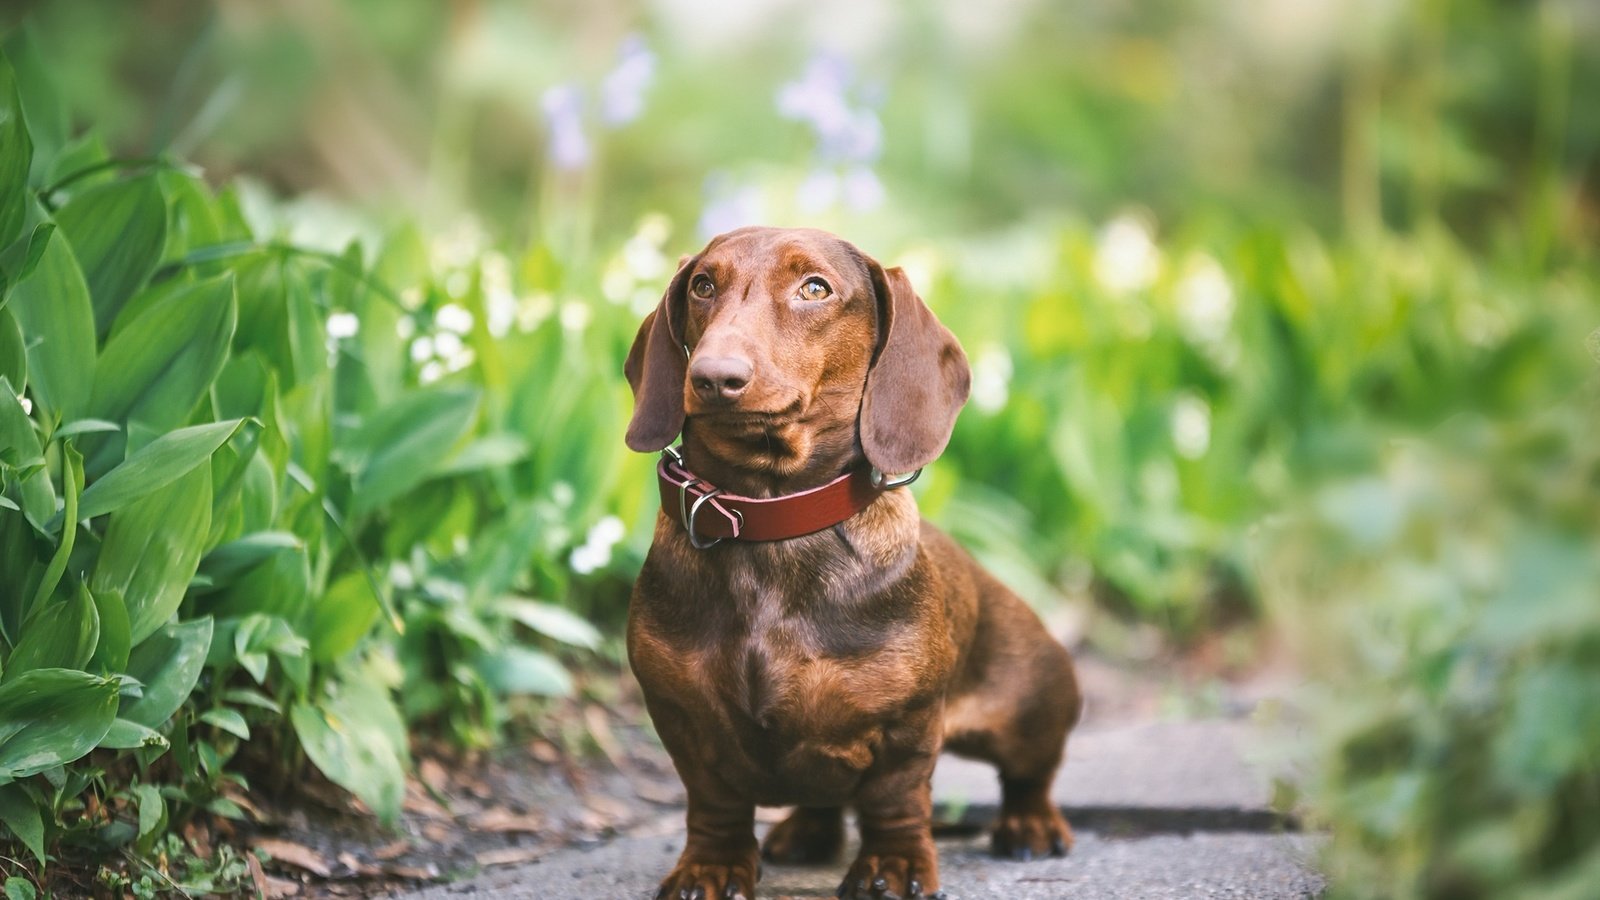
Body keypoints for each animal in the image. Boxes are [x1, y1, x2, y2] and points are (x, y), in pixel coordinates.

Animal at [617, 225, 1081, 896]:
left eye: (815, 288)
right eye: (703, 285)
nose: (713, 376)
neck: (771, 518)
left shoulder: (906, 727)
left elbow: (895, 799)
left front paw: (893, 865)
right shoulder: (681, 722)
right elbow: (713, 803)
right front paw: (711, 865)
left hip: (1032, 710)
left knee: (1030, 775)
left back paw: (1031, 824)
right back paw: (803, 831)